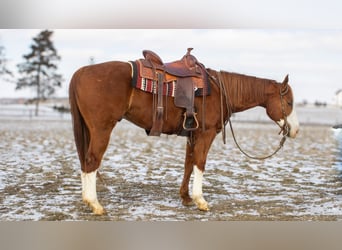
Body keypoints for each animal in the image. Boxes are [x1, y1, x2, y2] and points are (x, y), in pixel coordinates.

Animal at [69, 59, 300, 214]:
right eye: (289, 102)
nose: (295, 130)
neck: (219, 90)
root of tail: (82, 71)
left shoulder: (192, 134)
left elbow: (188, 163)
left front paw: (186, 197)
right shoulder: (206, 133)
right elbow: (200, 163)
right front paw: (200, 201)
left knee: (85, 162)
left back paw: (88, 201)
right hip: (102, 129)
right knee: (91, 161)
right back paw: (95, 204)